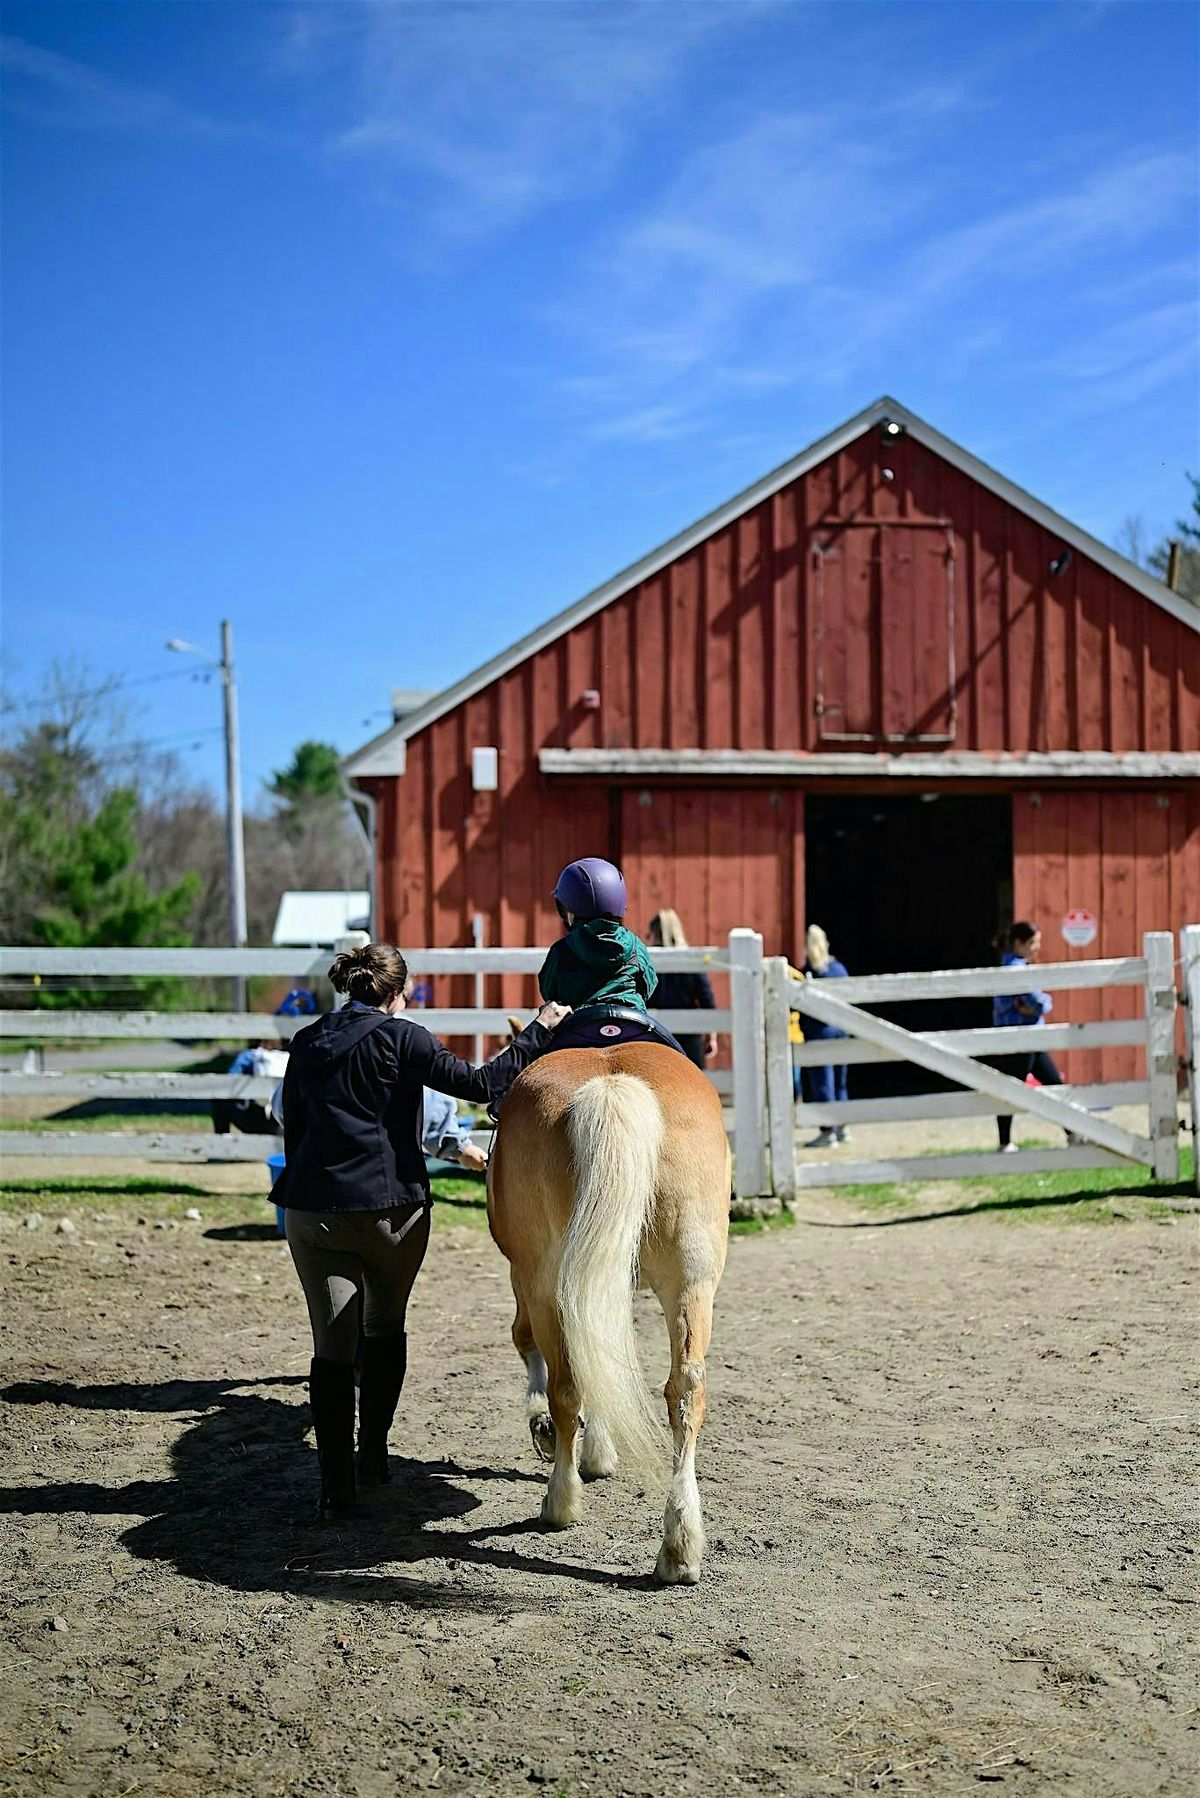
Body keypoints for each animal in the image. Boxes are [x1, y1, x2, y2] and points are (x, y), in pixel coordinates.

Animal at [486, 1041, 730, 1584]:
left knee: (565, 1386)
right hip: (692, 1279)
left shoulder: (524, 1279)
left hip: (544, 1280)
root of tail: (610, 1085)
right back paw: (680, 1547)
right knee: (686, 1391)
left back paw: (559, 1502)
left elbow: (532, 1344)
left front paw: (558, 1435)